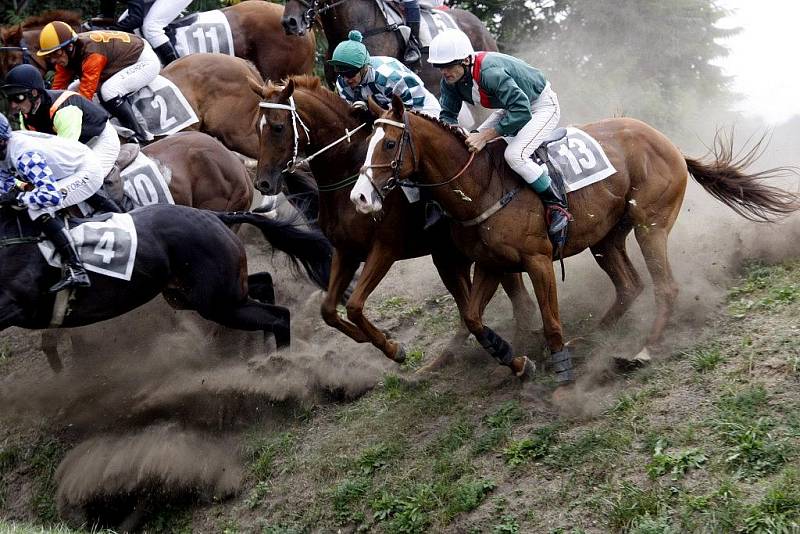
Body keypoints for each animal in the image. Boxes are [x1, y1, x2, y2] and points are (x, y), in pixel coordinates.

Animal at [0, 205, 332, 356]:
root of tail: (217, 216)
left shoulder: (17, 304)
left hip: (218, 304)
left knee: (279, 316)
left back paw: (283, 366)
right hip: (198, 294)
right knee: (263, 283)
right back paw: (266, 352)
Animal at [248, 74, 536, 372]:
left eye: (278, 127)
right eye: (257, 128)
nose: (263, 183)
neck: (347, 174)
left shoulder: (385, 249)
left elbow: (354, 305)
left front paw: (393, 347)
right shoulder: (346, 251)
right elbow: (328, 310)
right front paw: (368, 338)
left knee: (513, 297)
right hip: (448, 256)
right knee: (473, 305)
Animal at [356, 95, 800, 382]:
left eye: (390, 144)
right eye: (365, 147)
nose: (359, 197)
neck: (481, 186)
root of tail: (668, 143)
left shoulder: (537, 260)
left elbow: (551, 321)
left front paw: (560, 369)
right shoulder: (491, 264)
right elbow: (473, 318)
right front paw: (516, 361)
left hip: (650, 224)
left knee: (665, 287)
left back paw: (642, 350)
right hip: (606, 238)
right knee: (630, 286)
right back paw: (594, 337)